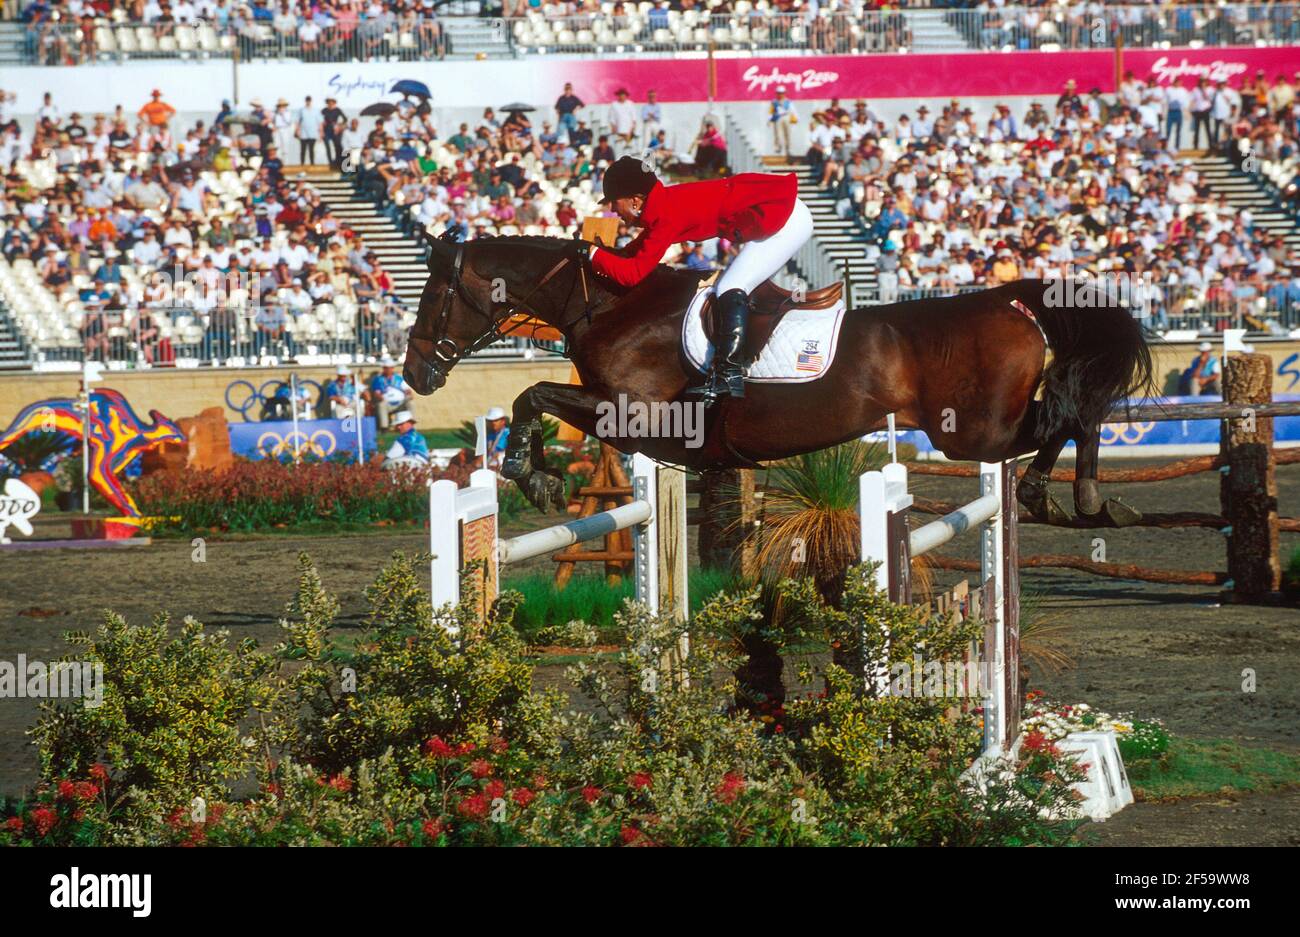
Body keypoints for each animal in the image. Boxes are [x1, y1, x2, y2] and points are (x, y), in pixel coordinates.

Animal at [400, 232, 1154, 525]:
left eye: (433, 296)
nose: (416, 373)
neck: (609, 304)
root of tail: (1013, 301)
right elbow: (537, 398)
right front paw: (540, 474)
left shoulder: (639, 415)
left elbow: (533, 394)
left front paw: (534, 477)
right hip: (979, 429)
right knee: (1076, 413)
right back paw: (1087, 499)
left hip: (974, 431)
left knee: (1068, 414)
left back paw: (1062, 494)